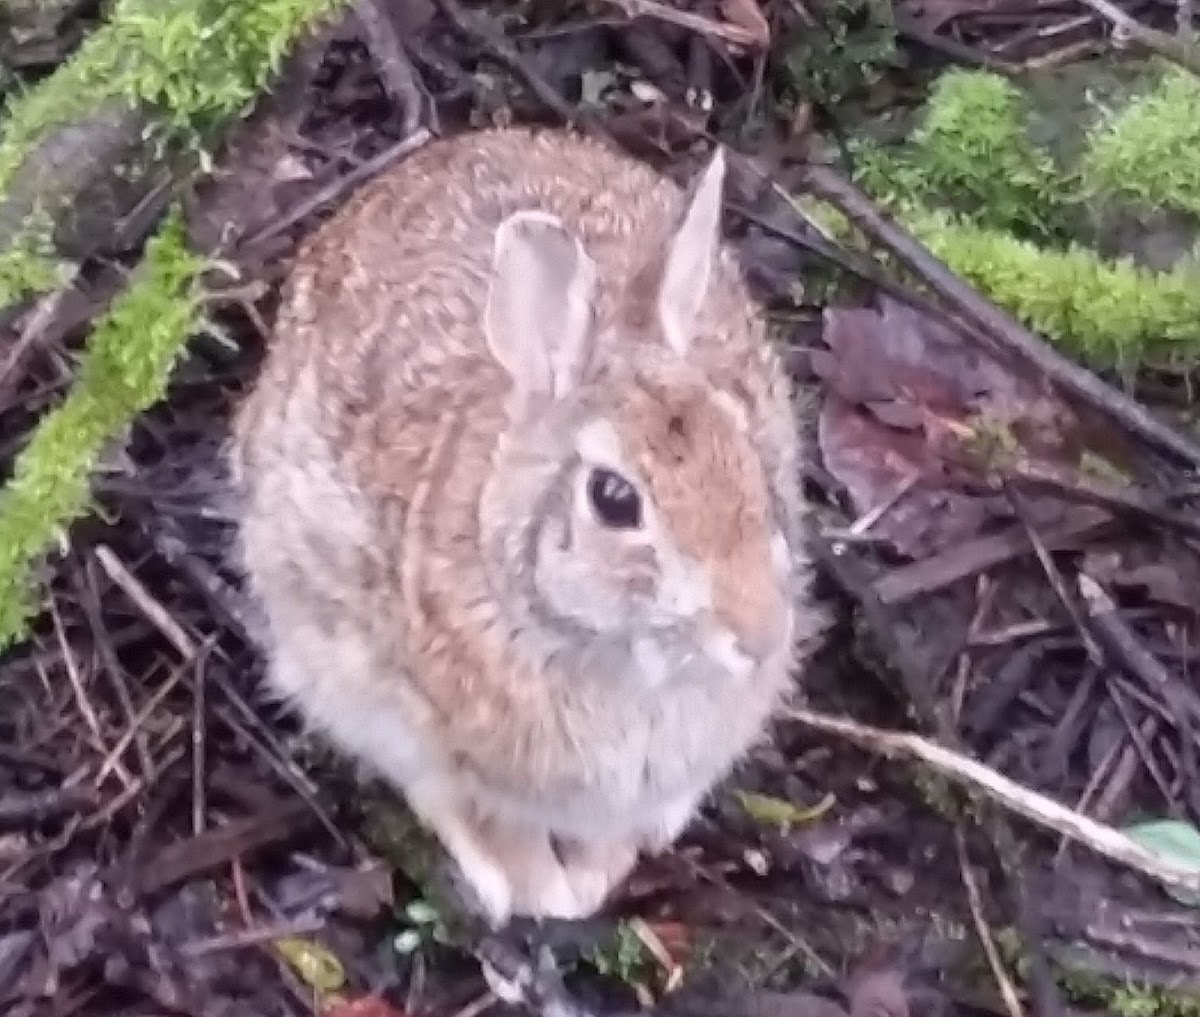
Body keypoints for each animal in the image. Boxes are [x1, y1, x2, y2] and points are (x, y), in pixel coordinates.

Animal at [226, 122, 825, 925]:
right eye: (614, 498)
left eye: (747, 447)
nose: (760, 636)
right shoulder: (442, 741)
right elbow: (494, 821)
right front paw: (550, 895)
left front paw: (601, 875)